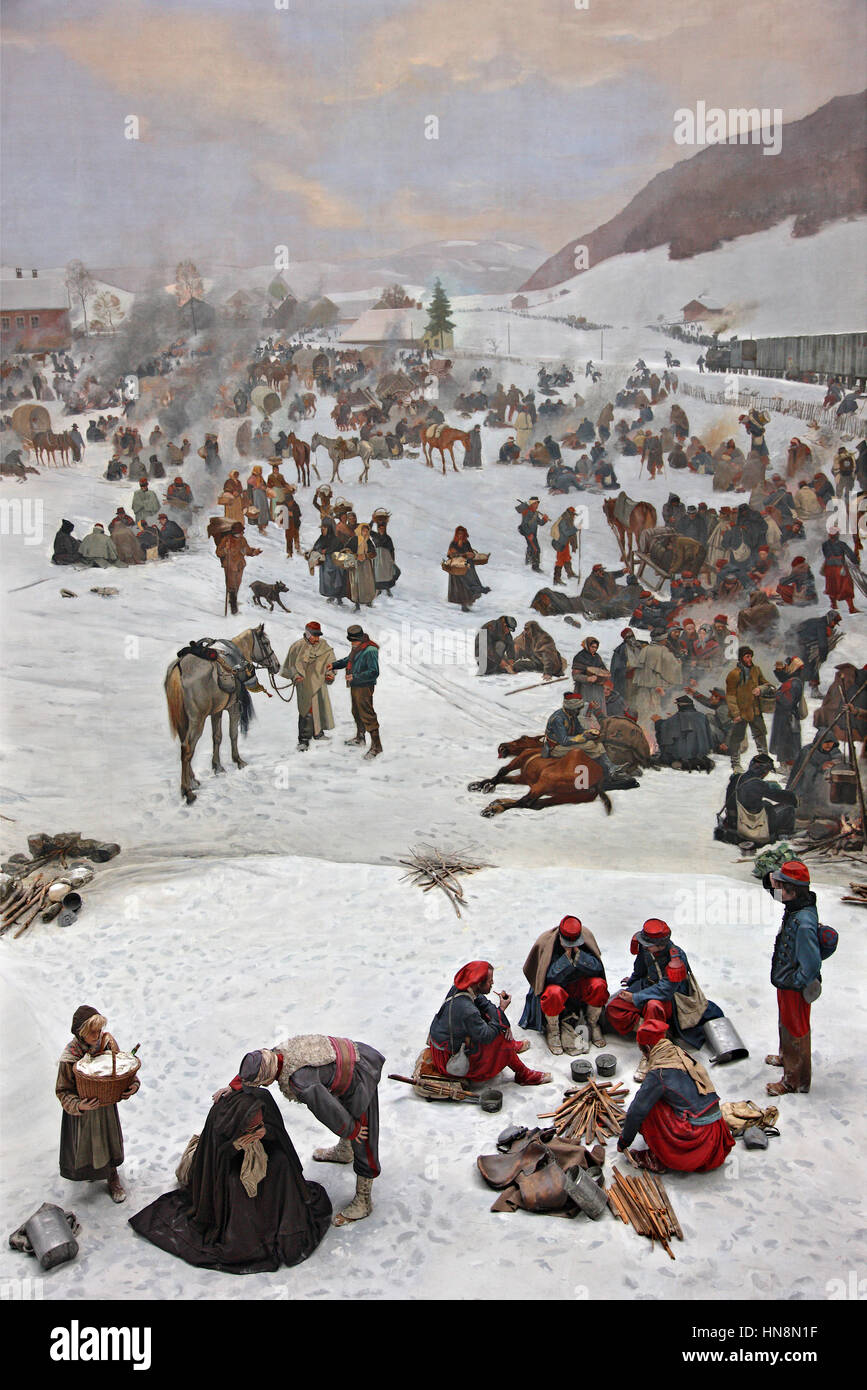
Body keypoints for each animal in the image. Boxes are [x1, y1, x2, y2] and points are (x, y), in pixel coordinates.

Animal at [163, 628, 279, 811]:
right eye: (266, 643)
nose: (277, 665)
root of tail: (179, 667)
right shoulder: (233, 708)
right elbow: (233, 735)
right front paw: (238, 761)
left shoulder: (216, 712)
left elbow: (217, 737)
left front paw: (217, 766)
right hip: (197, 720)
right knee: (188, 748)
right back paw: (187, 792)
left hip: (185, 720)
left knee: (185, 747)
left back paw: (193, 781)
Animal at [464, 733, 614, 817]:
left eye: (523, 737)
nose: (502, 746)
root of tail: (598, 780)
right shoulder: (523, 778)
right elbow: (504, 778)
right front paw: (478, 785)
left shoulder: (519, 760)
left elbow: (502, 772)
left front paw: (486, 786)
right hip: (564, 797)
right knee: (536, 803)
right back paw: (498, 802)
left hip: (545, 783)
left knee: (526, 801)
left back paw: (493, 809)